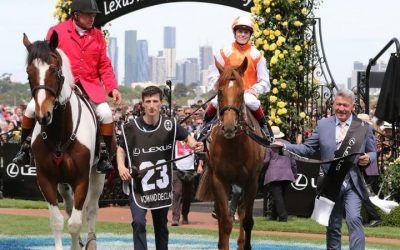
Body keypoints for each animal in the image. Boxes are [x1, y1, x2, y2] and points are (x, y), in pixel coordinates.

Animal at [22, 32, 104, 249]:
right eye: (29, 72)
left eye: (53, 69)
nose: (43, 115)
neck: (59, 132)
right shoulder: (46, 179)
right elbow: (58, 221)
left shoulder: (82, 179)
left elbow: (75, 223)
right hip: (63, 183)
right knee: (69, 207)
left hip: (97, 176)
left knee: (91, 209)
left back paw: (91, 240)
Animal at [197, 57, 266, 249]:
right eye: (219, 92)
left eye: (241, 93)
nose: (228, 127)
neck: (235, 145)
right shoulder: (219, 180)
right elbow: (225, 222)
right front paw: (223, 243)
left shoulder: (252, 181)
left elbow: (248, 220)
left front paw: (246, 244)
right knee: (224, 215)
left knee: (242, 211)